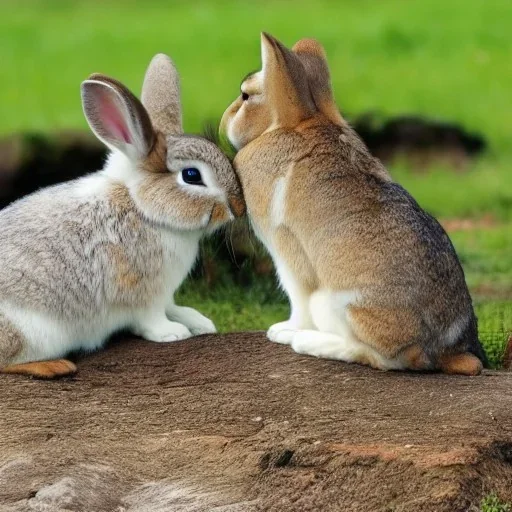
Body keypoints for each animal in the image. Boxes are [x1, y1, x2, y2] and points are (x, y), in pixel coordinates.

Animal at [0, 53, 244, 380]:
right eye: (192, 176)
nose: (238, 207)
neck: (144, 209)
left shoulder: (165, 294)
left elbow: (173, 307)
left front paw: (199, 322)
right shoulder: (144, 294)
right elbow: (151, 319)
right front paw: (173, 333)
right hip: (29, 331)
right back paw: (54, 365)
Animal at [220, 33, 488, 376]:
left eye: (245, 95)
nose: (225, 118)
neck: (292, 127)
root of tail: (442, 352)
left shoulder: (287, 252)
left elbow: (296, 297)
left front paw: (282, 330)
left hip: (335, 303)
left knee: (381, 357)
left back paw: (305, 341)